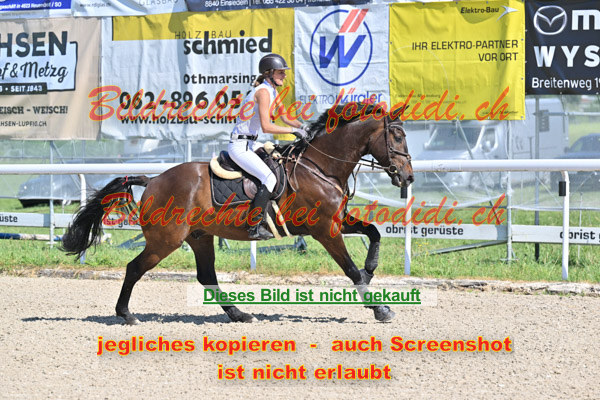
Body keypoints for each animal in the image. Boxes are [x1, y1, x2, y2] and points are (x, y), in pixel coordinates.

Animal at [61, 103, 413, 324]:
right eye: (397, 136)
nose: (408, 177)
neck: (320, 167)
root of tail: (153, 180)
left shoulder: (335, 222)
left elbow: (373, 232)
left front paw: (371, 269)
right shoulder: (325, 230)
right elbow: (351, 270)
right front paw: (380, 309)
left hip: (199, 237)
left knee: (207, 276)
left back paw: (239, 314)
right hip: (165, 240)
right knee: (134, 268)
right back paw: (126, 314)